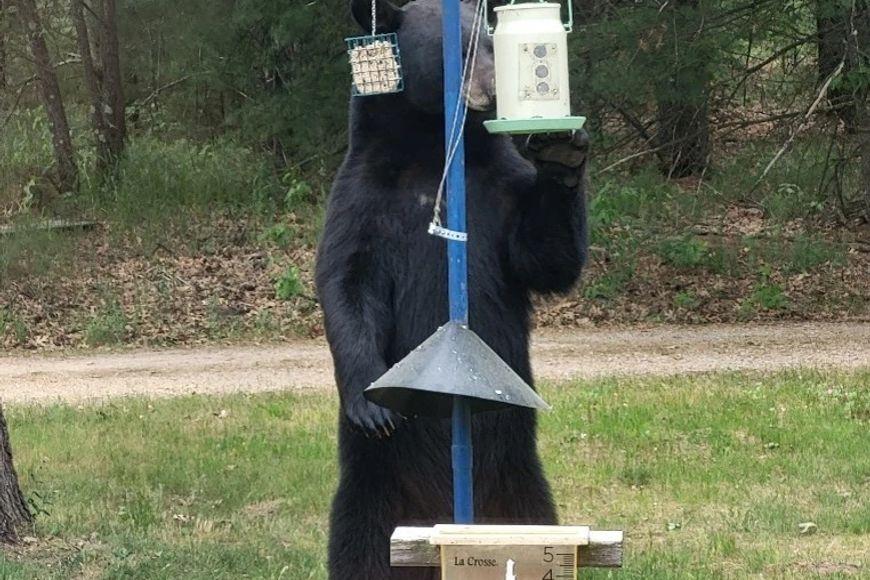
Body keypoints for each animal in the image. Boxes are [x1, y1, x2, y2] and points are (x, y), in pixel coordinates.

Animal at [315, 0, 589, 578]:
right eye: (457, 50)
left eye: (489, 40)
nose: (492, 89)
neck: (430, 153)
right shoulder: (364, 198)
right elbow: (347, 281)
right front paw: (372, 405)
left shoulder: (498, 187)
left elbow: (544, 258)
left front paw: (561, 154)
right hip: (371, 496)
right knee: (357, 549)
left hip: (524, 492)